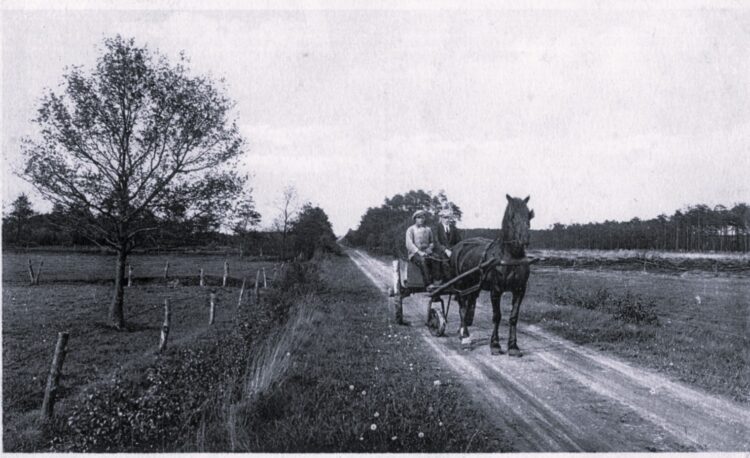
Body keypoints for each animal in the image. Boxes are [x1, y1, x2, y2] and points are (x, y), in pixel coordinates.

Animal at [452, 195, 536, 356]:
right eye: (512, 216)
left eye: (529, 215)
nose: (525, 239)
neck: (511, 257)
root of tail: (459, 246)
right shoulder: (496, 290)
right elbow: (497, 316)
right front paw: (495, 344)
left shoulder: (520, 290)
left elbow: (513, 317)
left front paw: (513, 346)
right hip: (460, 284)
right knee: (462, 307)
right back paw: (465, 336)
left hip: (473, 286)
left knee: (468, 305)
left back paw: (462, 331)